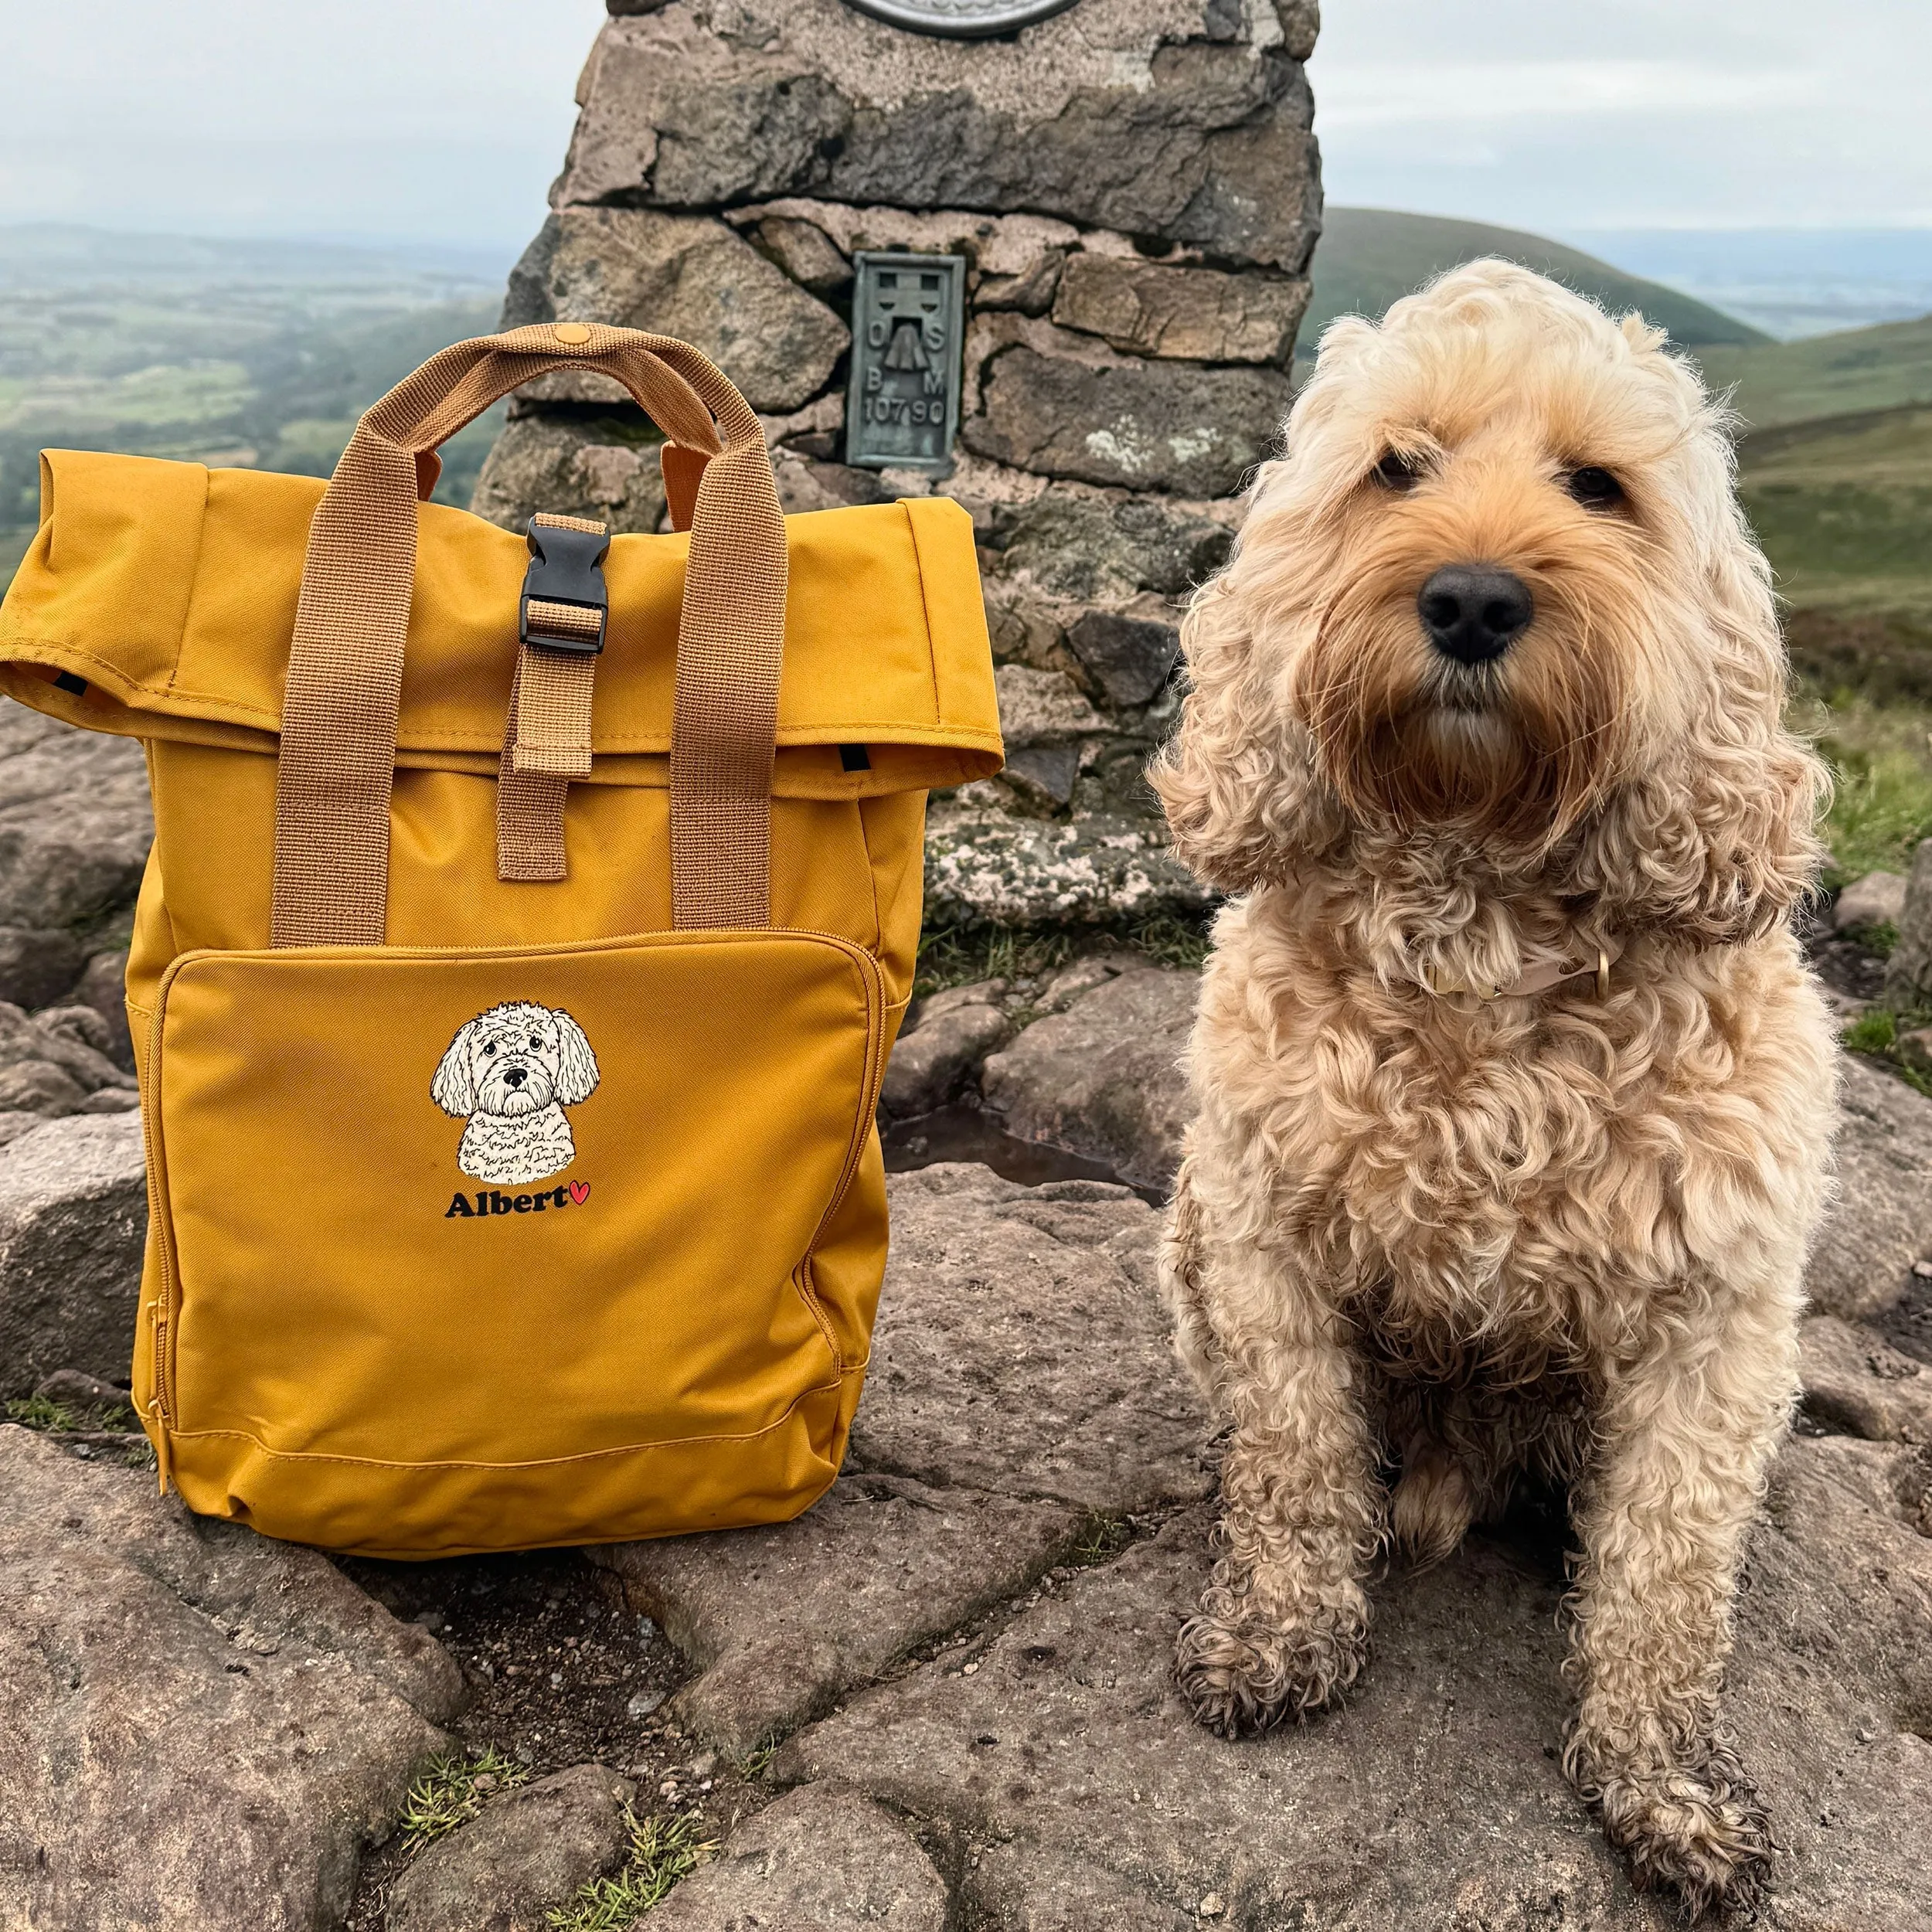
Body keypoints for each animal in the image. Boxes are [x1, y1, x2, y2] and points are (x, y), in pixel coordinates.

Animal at [1151, 260, 1832, 1917]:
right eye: (1396, 467)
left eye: (1600, 487)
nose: (1470, 599)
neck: (1477, 903)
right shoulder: (1262, 1242)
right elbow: (1296, 1463)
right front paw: (1281, 1631)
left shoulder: (1720, 1321)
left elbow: (1665, 1576)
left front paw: (1663, 1782)